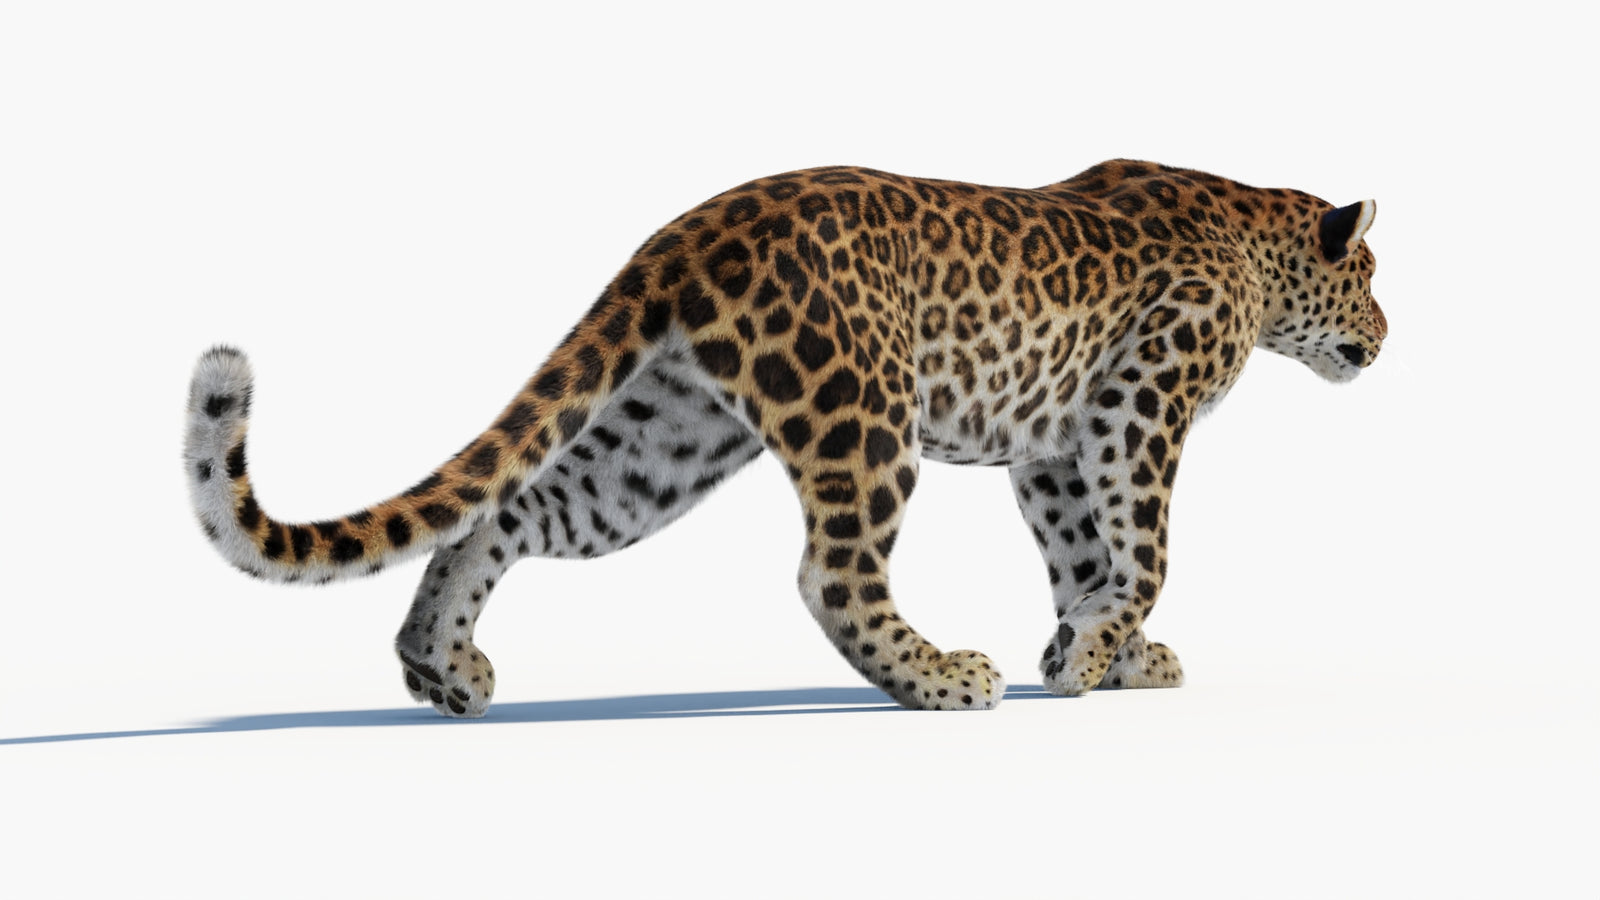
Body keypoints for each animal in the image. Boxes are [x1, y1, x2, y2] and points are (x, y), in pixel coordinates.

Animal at [184, 159, 1385, 717]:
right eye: (1372, 275)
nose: (1387, 335)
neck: (1258, 249)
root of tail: (686, 229)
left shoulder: (1052, 447)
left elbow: (1089, 555)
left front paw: (1102, 656)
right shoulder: (1138, 408)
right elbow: (1147, 551)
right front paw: (1091, 654)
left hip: (661, 447)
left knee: (506, 514)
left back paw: (442, 668)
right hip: (865, 411)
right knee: (831, 574)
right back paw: (943, 678)